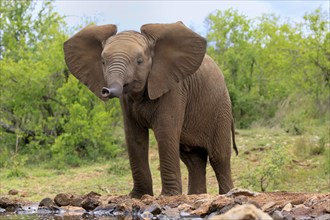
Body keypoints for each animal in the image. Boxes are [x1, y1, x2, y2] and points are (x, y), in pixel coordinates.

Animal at [63, 21, 237, 199]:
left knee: (219, 157)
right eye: (103, 62)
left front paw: (168, 196)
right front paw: (137, 196)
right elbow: (134, 137)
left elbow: (165, 132)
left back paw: (227, 194)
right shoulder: (127, 100)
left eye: (139, 61)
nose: (106, 90)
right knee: (193, 160)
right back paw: (196, 195)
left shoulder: (174, 88)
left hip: (221, 108)